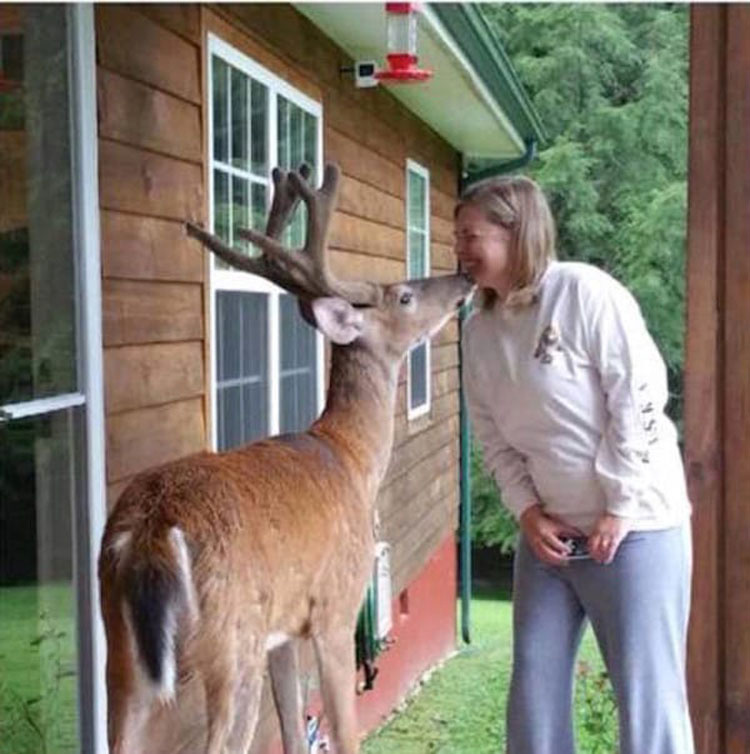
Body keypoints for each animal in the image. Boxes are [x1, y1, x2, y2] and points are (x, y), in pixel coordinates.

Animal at [100, 160, 476, 752]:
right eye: (403, 297)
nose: (463, 279)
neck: (351, 457)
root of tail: (151, 526)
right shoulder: (335, 610)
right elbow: (344, 734)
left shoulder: (283, 633)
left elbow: (297, 732)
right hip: (230, 644)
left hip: (122, 652)